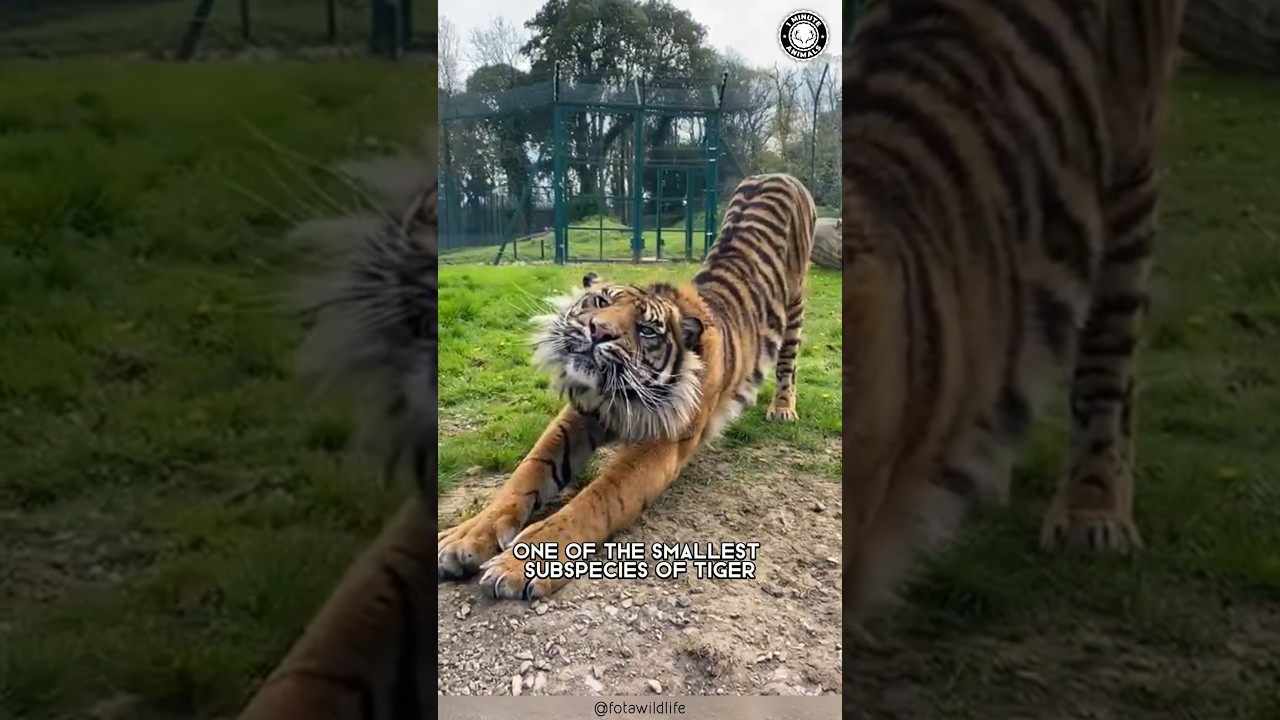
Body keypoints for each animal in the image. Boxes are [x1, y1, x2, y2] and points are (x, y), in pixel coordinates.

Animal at [436, 172, 818, 600]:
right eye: (600, 301)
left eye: (647, 329)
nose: (598, 331)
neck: (614, 395)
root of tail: (777, 174)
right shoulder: (577, 417)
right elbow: (523, 477)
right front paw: (463, 539)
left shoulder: (660, 445)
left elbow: (596, 499)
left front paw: (522, 563)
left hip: (796, 304)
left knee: (788, 363)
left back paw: (782, 409)